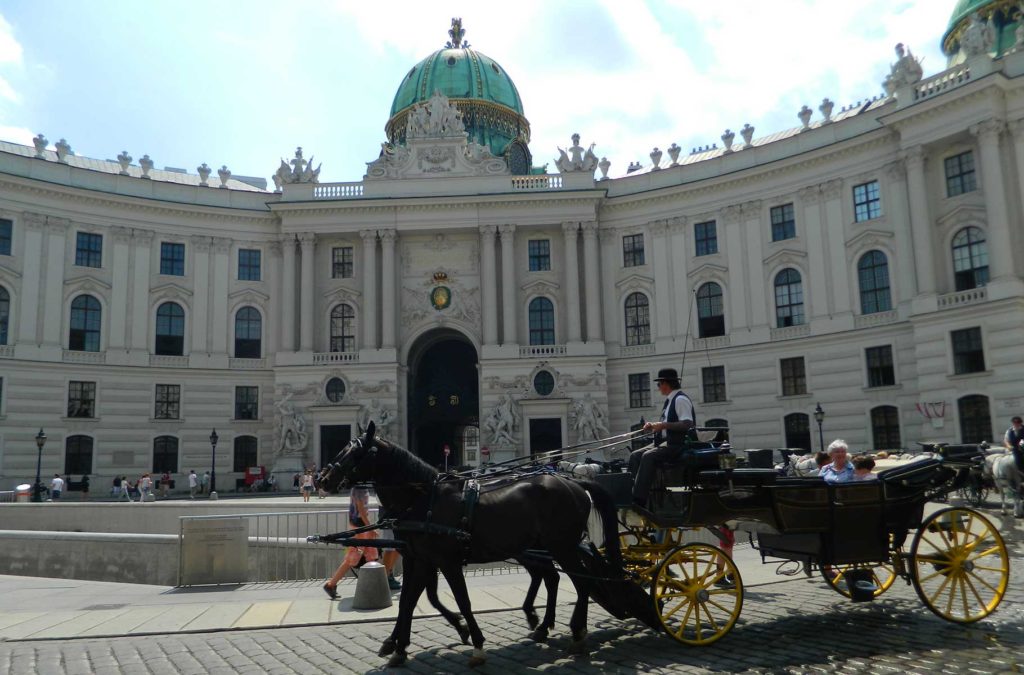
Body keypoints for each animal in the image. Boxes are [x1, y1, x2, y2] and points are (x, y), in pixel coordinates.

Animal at [319, 426, 647, 667]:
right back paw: (546, 626)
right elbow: (409, 602)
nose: (323, 478)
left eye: (353, 452)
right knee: (558, 579)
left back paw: (575, 632)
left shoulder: (447, 560)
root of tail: (574, 482)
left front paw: (475, 642)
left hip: (562, 546)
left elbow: (462, 601)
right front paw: (397, 647)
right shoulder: (419, 559)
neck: (424, 499)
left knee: (581, 584)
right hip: (544, 547)